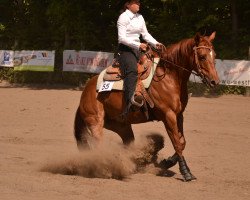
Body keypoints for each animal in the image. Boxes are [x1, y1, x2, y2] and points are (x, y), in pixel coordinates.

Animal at [73, 32, 219, 181]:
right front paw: (186, 172)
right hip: (95, 122)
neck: (169, 77)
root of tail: (86, 91)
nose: (215, 81)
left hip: (121, 125)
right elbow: (177, 143)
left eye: (214, 55)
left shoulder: (179, 115)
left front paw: (167, 162)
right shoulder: (168, 115)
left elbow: (182, 142)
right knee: (98, 146)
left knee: (127, 144)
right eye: (202, 56)